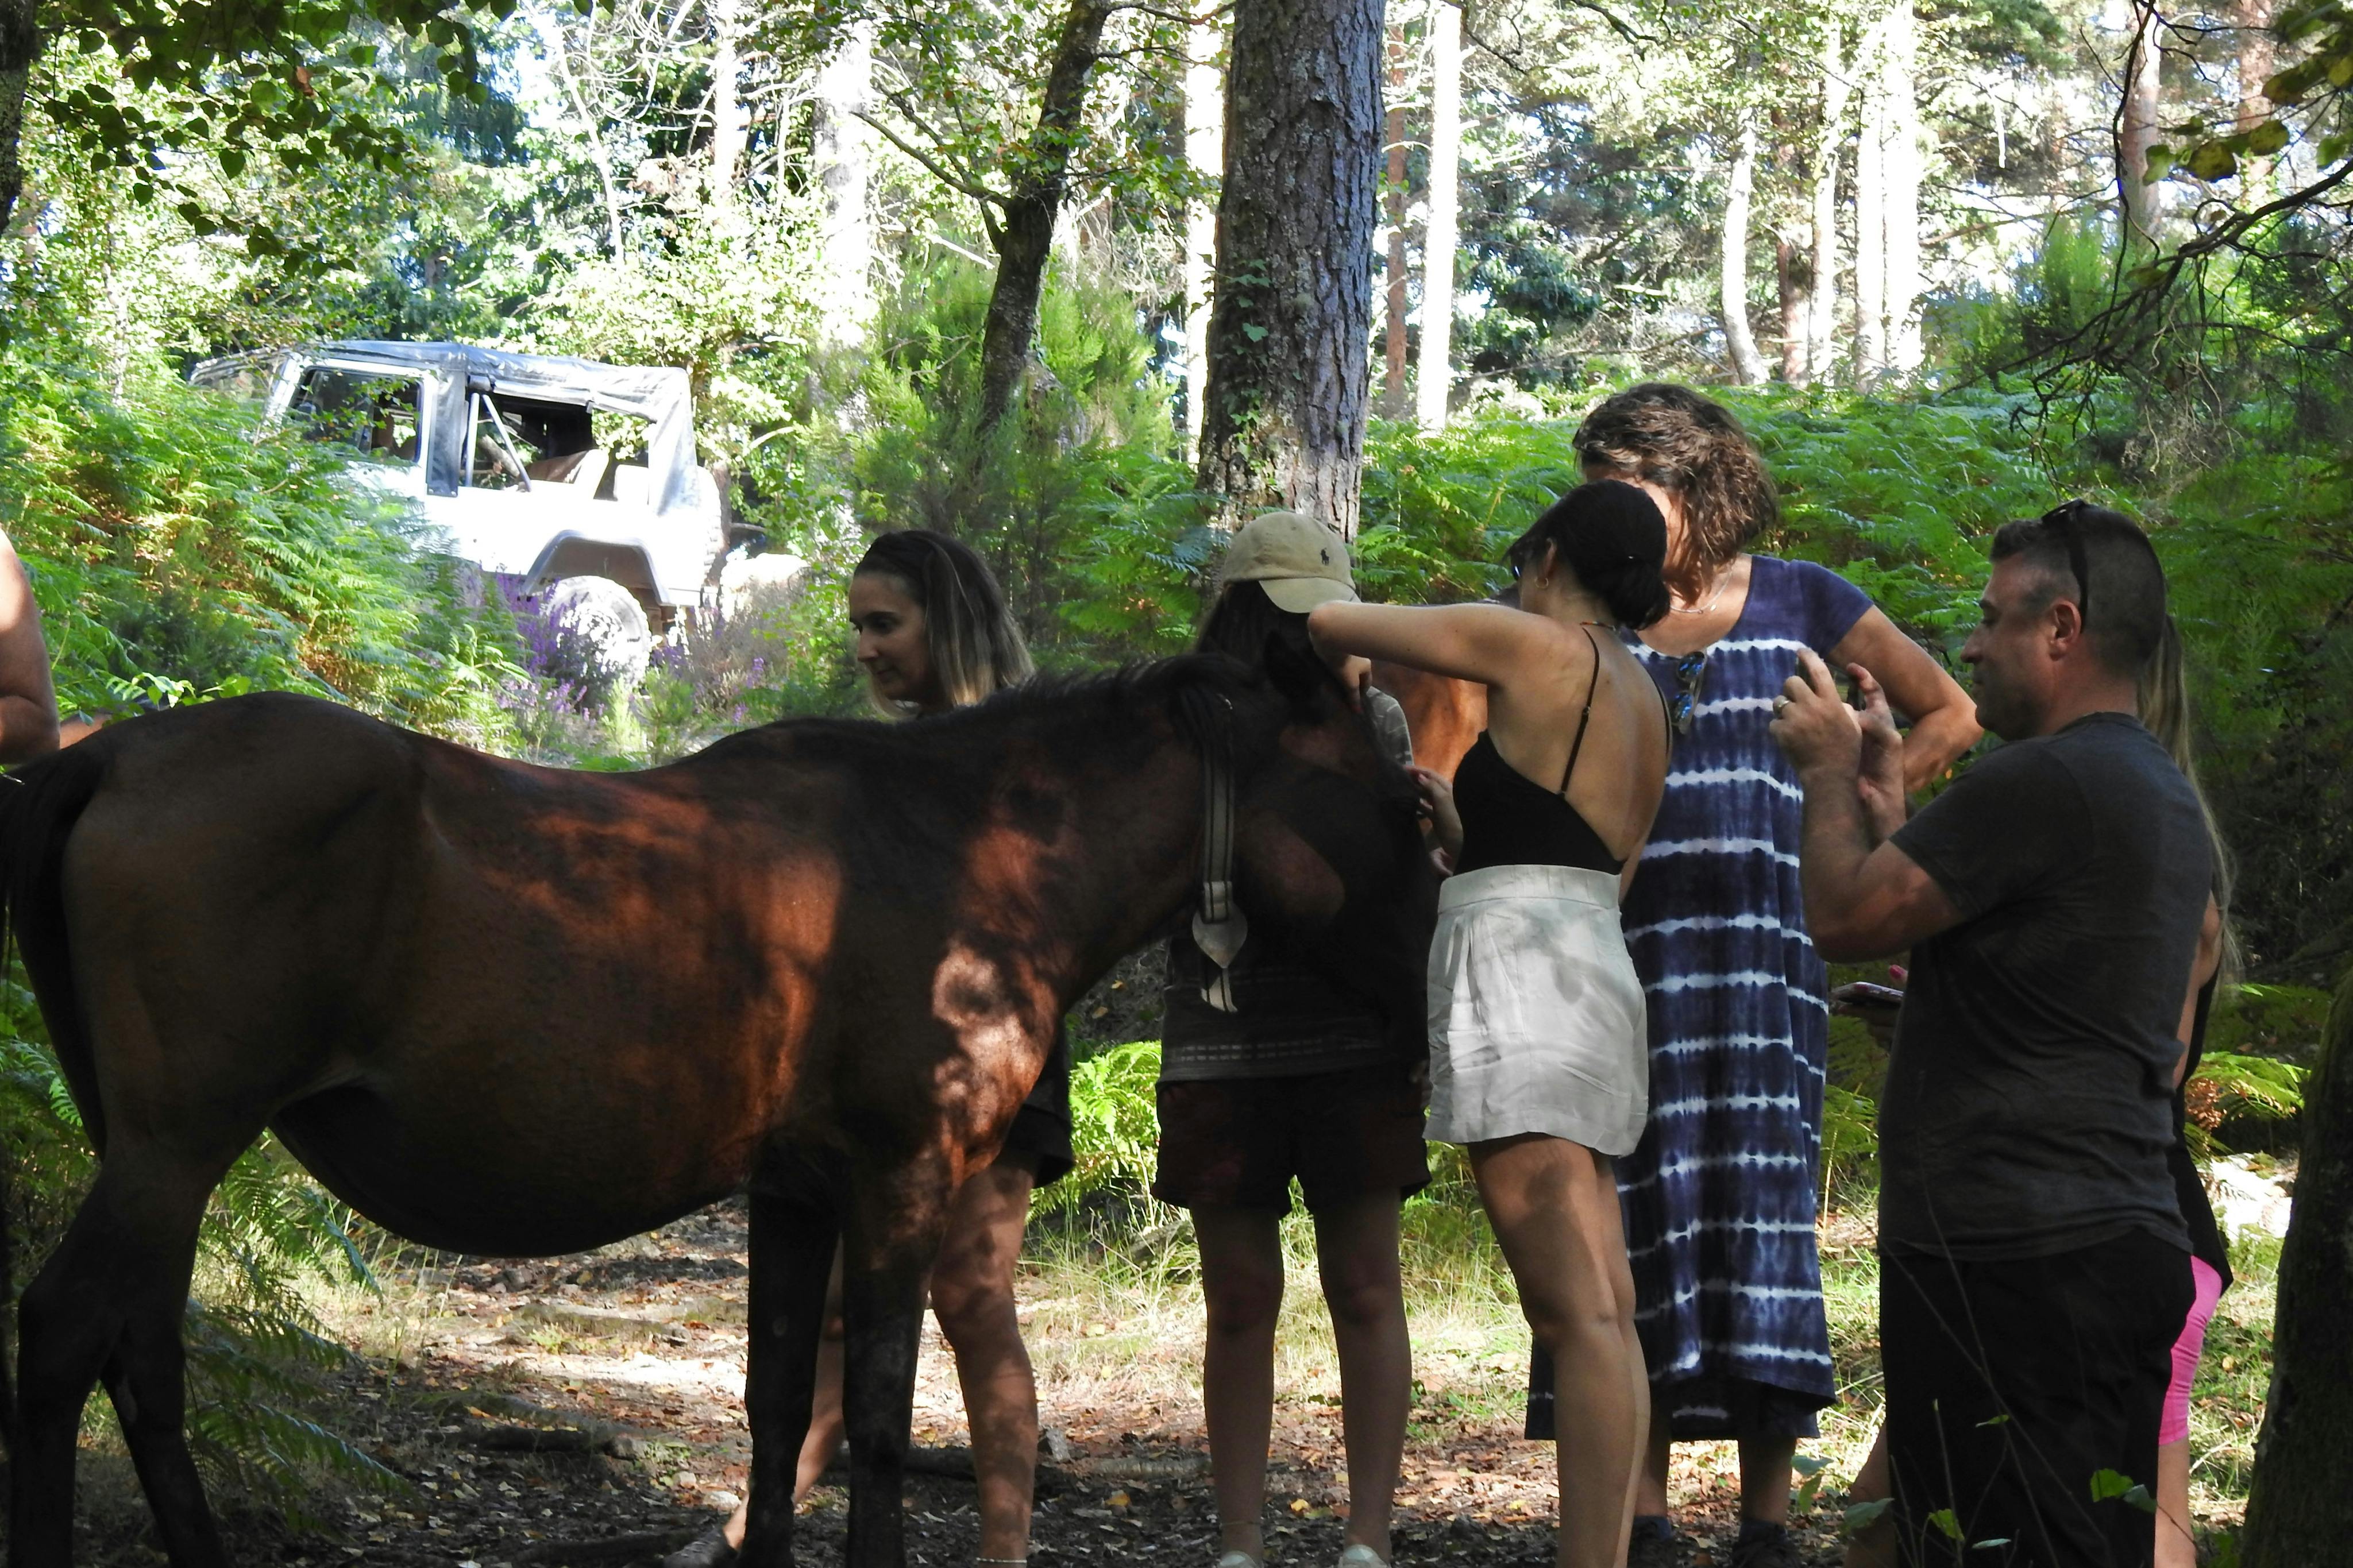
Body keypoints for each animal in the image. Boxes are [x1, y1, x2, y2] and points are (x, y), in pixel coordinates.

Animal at [0, 646, 1437, 1568]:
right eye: (1392, 804)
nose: (1420, 1013)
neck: (960, 848)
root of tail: (109, 758)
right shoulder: (900, 1178)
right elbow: (872, 1421)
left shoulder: (792, 1196)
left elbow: (775, 1408)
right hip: (172, 1148)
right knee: (70, 1332)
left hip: (157, 1155)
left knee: (140, 1354)